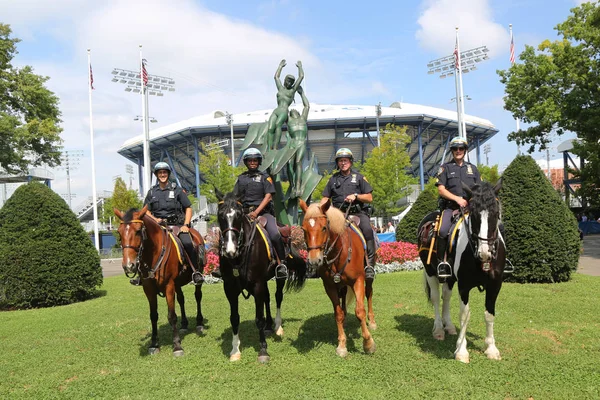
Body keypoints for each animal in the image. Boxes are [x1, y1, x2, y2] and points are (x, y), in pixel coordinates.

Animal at [115, 206, 206, 356]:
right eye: (119, 232)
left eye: (138, 231)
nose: (129, 265)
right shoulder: (149, 288)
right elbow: (153, 316)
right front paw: (154, 344)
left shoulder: (169, 286)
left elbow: (172, 315)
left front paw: (177, 345)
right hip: (177, 284)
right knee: (181, 299)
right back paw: (184, 324)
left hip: (197, 276)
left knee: (198, 296)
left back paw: (199, 323)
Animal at [216, 191, 308, 362]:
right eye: (220, 215)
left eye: (239, 215)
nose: (230, 250)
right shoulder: (230, 288)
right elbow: (234, 318)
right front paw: (235, 350)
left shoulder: (257, 284)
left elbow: (259, 318)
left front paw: (263, 350)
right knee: (267, 297)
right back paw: (269, 325)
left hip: (278, 277)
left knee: (277, 297)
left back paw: (277, 326)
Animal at [298, 198, 378, 358]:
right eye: (304, 229)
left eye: (324, 228)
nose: (314, 260)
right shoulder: (330, 286)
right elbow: (338, 314)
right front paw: (342, 345)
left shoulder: (358, 280)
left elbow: (360, 311)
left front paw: (368, 343)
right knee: (344, 298)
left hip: (367, 278)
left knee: (369, 293)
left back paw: (372, 321)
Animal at [418, 181, 506, 362]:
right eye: (473, 214)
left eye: (495, 213)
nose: (485, 252)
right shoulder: (464, 286)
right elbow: (465, 315)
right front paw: (461, 350)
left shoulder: (495, 285)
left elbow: (490, 314)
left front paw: (491, 348)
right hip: (430, 271)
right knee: (436, 298)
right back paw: (439, 329)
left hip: (450, 278)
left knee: (446, 296)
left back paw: (450, 326)